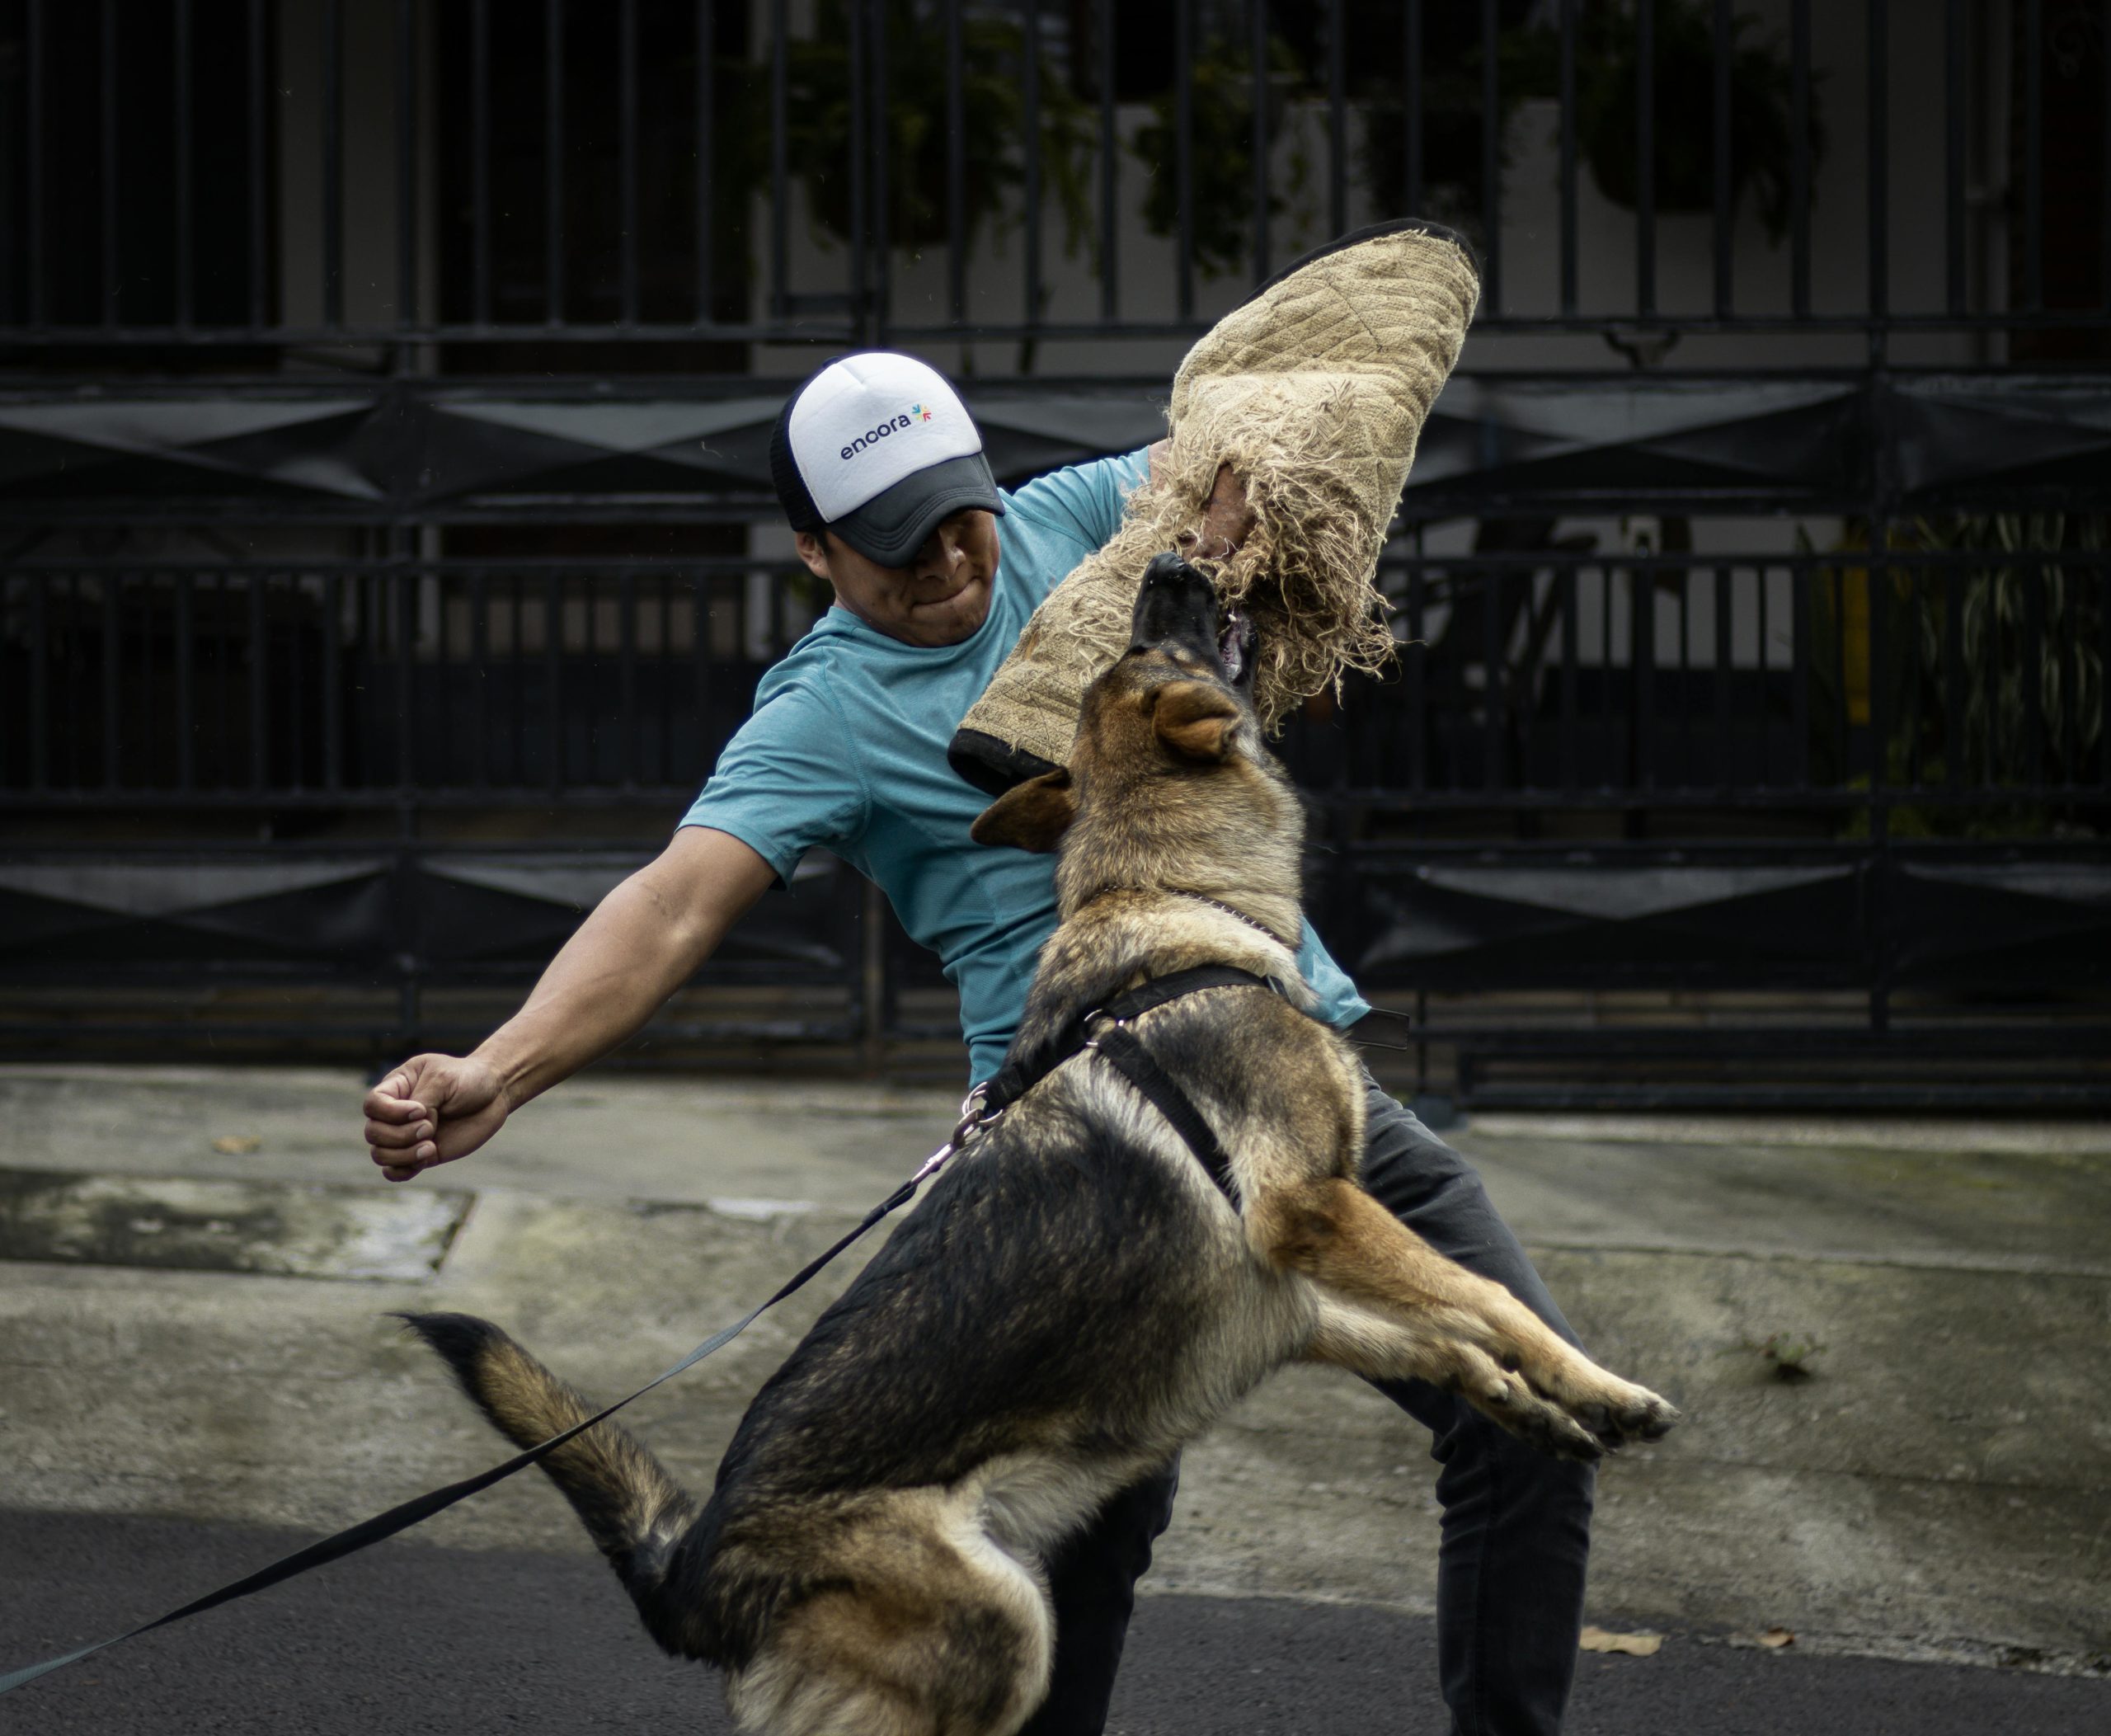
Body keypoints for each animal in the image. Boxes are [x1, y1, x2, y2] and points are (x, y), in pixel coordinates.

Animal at [402, 553, 1671, 1736]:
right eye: (1156, 643)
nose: (1171, 562)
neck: (1168, 898)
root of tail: (696, 1571)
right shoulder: (1307, 1211)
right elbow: (1485, 1297)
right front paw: (1607, 1383)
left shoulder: (1286, 1297)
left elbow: (1442, 1330)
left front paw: (1536, 1404)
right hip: (1007, 1624)